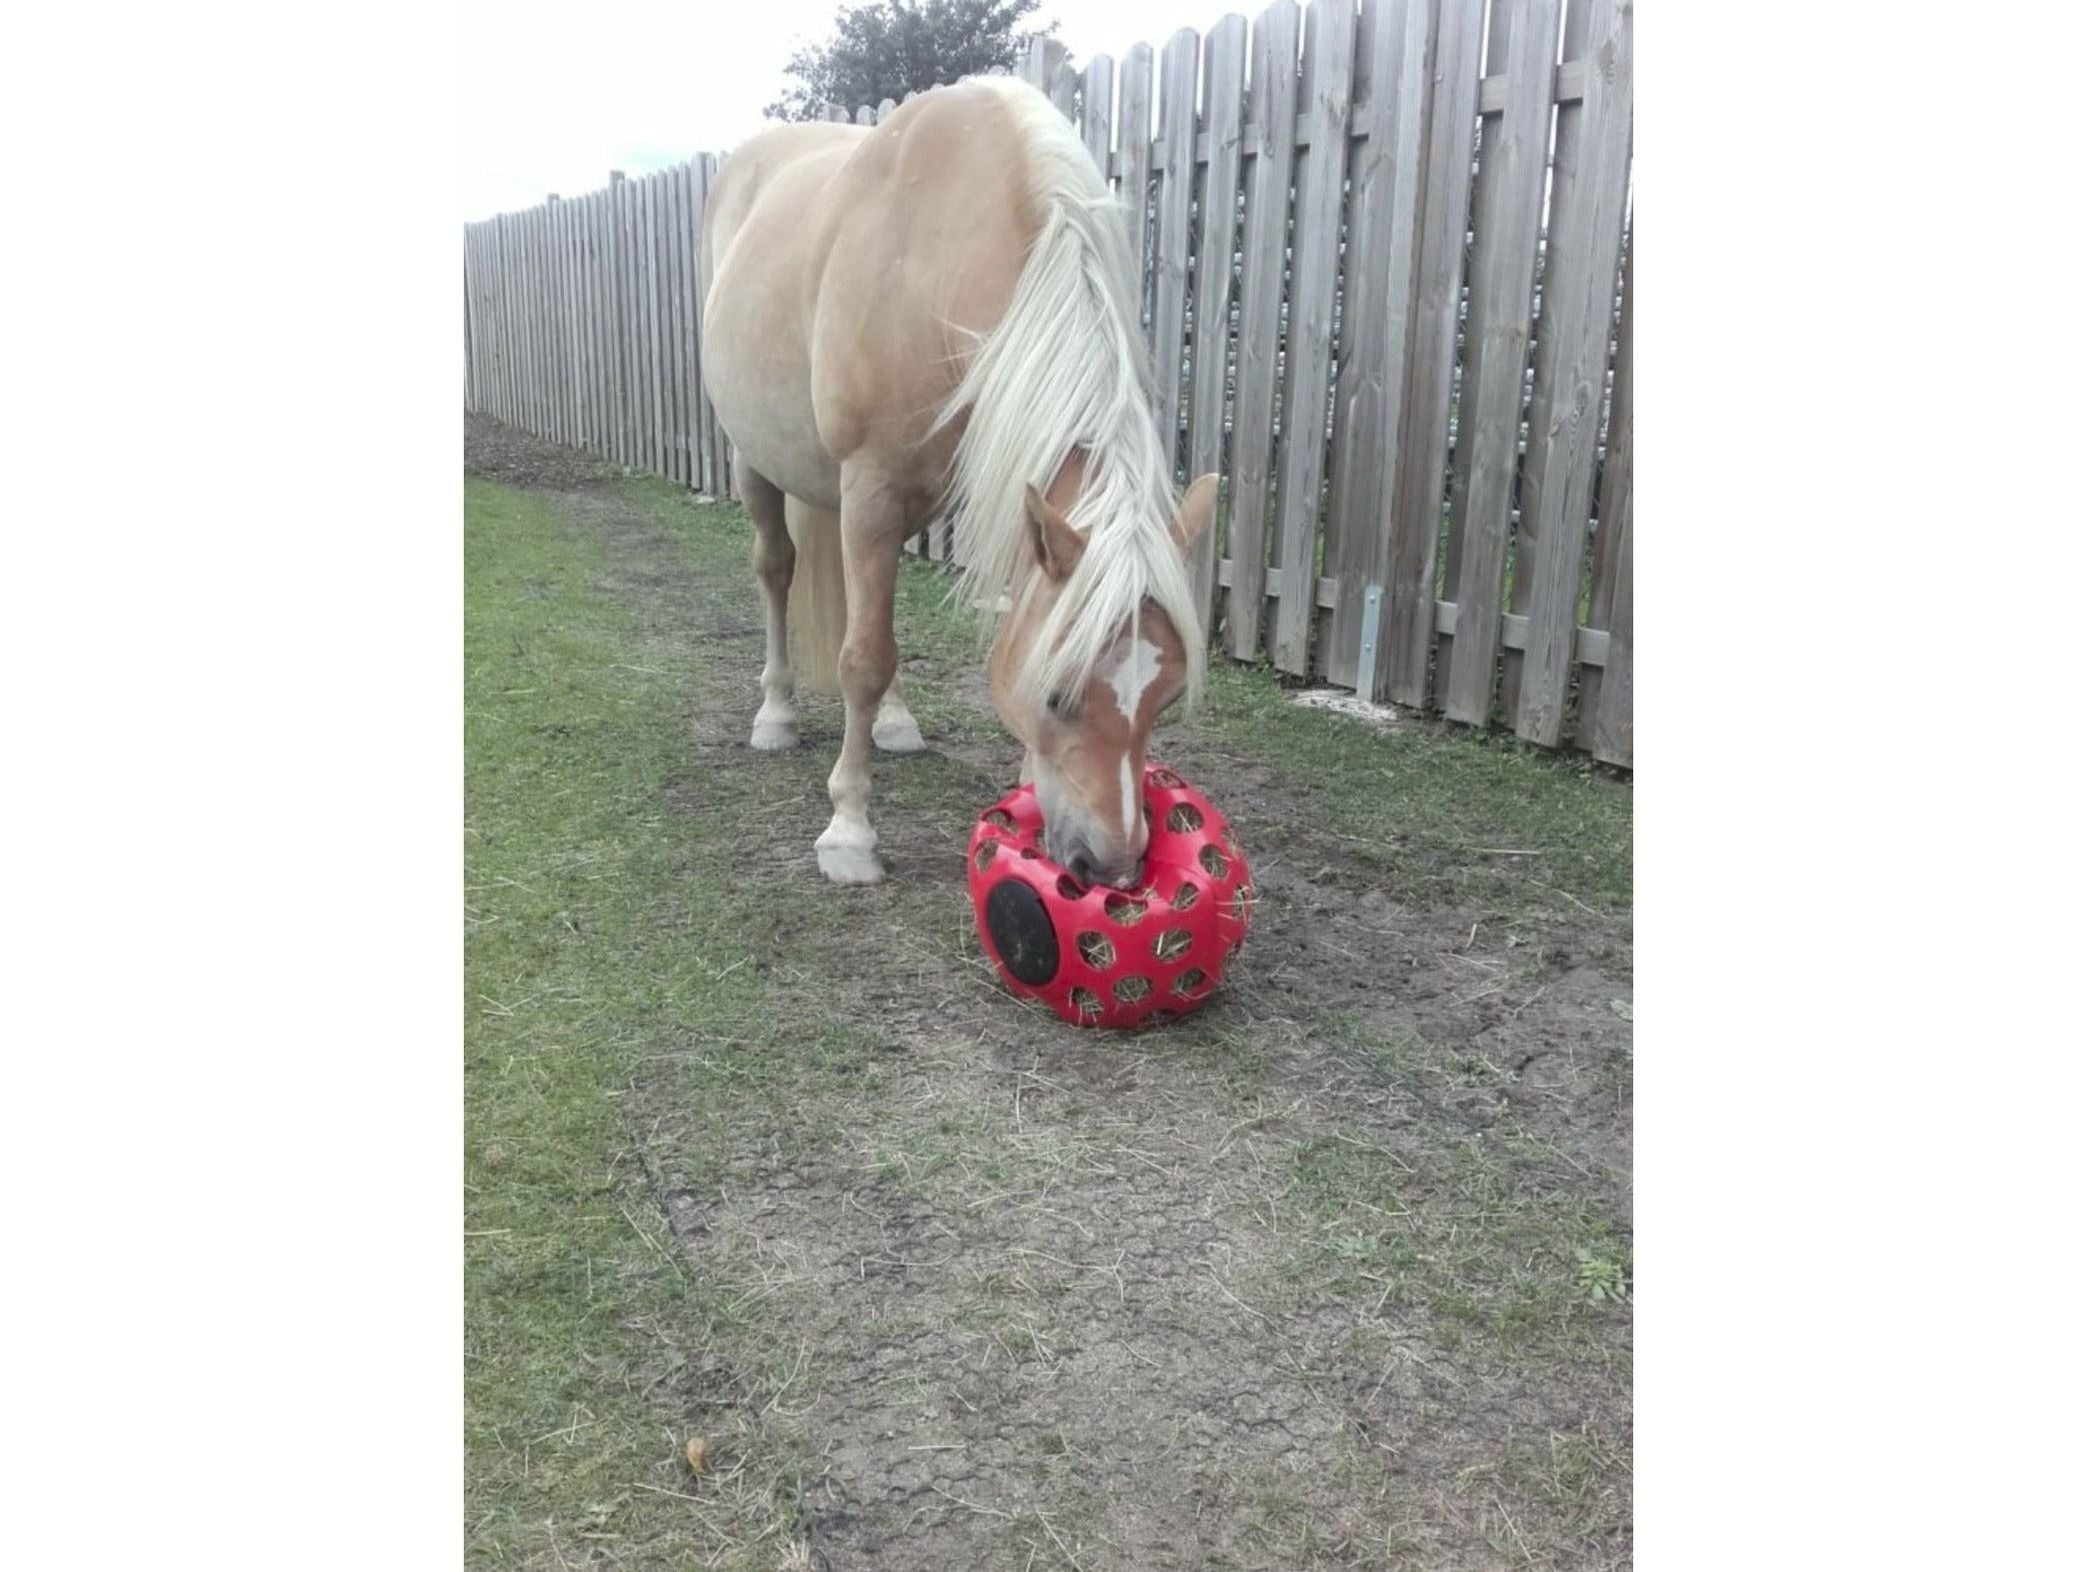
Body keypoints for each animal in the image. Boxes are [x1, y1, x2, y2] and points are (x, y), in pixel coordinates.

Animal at [695, 77, 1224, 888]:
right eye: (1057, 695)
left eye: (1163, 702)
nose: (1110, 868)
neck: (931, 255)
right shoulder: (871, 491)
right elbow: (861, 659)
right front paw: (849, 832)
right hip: (761, 465)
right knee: (779, 572)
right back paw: (776, 714)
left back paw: (893, 721)